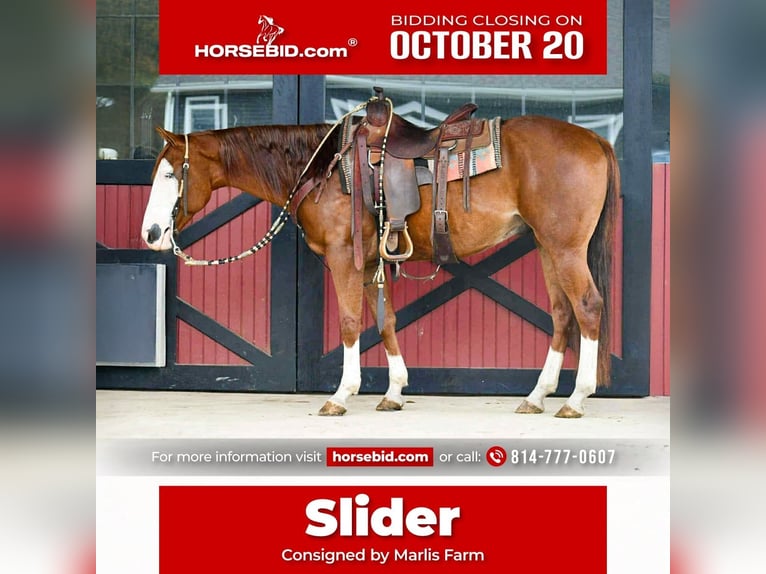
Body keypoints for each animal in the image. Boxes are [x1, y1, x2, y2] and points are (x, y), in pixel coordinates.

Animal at [140, 104, 618, 419]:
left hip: (565, 247)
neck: (322, 167)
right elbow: (384, 321)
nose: (150, 234)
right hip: (546, 245)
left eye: (170, 174)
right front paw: (394, 392)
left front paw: (341, 395)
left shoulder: (344, 259)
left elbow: (351, 322)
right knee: (561, 313)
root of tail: (594, 138)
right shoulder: (371, 263)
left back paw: (576, 398)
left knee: (587, 307)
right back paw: (537, 396)